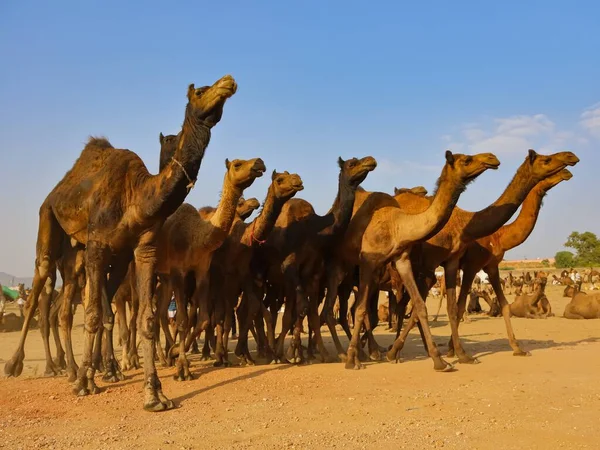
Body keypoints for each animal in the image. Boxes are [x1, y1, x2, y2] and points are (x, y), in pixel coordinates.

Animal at [5, 74, 239, 412]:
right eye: (200, 91)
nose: (228, 81)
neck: (136, 196)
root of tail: (57, 189)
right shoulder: (97, 246)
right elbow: (91, 315)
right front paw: (86, 384)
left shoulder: (142, 249)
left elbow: (145, 319)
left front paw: (154, 393)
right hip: (48, 220)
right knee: (42, 286)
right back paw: (29, 366)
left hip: (92, 256)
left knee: (85, 305)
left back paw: (93, 368)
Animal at [156, 156, 266, 382]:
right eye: (237, 164)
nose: (259, 162)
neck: (197, 237)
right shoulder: (179, 272)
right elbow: (183, 320)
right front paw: (183, 368)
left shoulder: (202, 271)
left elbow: (205, 319)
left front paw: (177, 353)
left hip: (164, 278)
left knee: (160, 314)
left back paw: (166, 355)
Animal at [392, 149, 580, 364]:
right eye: (546, 160)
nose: (569, 161)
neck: (498, 237)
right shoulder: (469, 265)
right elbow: (456, 306)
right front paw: (452, 351)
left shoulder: (490, 265)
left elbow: (503, 305)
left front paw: (517, 348)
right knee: (405, 303)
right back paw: (395, 350)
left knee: (404, 303)